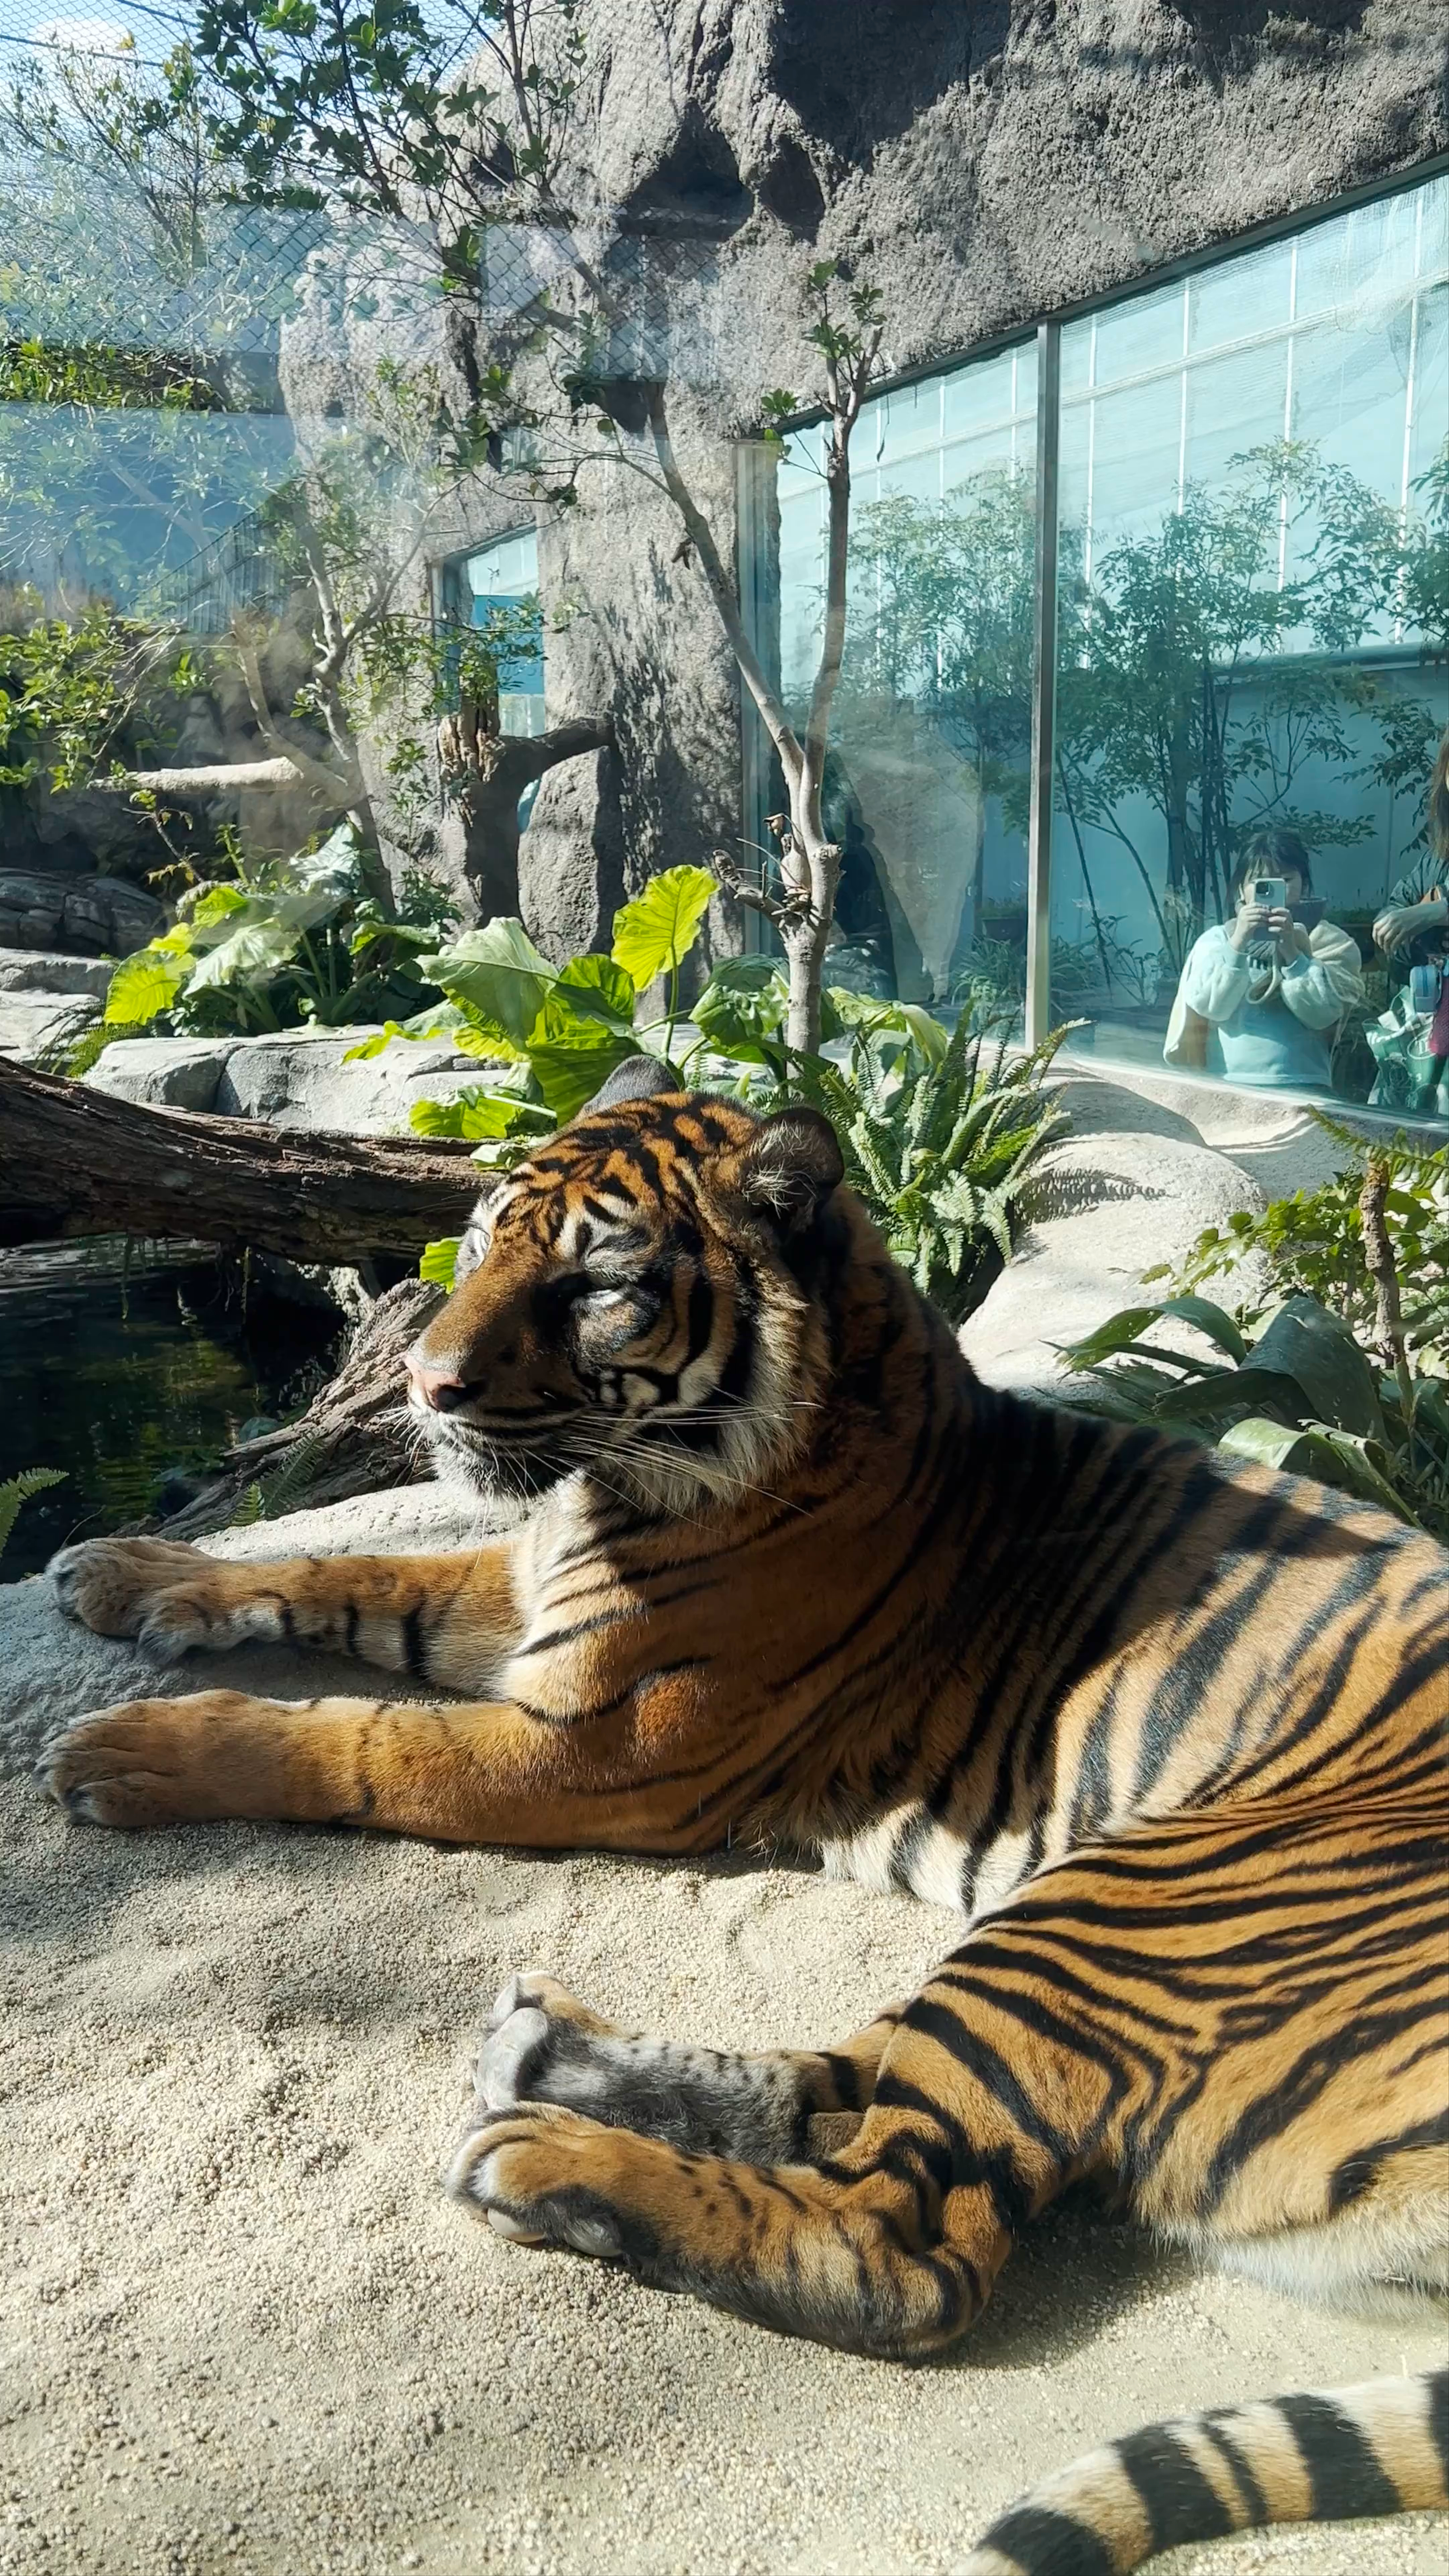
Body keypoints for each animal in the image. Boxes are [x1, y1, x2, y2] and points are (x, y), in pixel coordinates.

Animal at [35, 1057, 1449, 2574]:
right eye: (478, 1248)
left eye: (593, 1286)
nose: (421, 1384)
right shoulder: (522, 1601)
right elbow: (345, 1570)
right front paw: (128, 1570)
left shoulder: (598, 1743)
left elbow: (357, 1739)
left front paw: (126, 1747)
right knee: (840, 2084)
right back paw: (545, 2054)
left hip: (1132, 1900)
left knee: (903, 2245)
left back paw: (550, 2160)